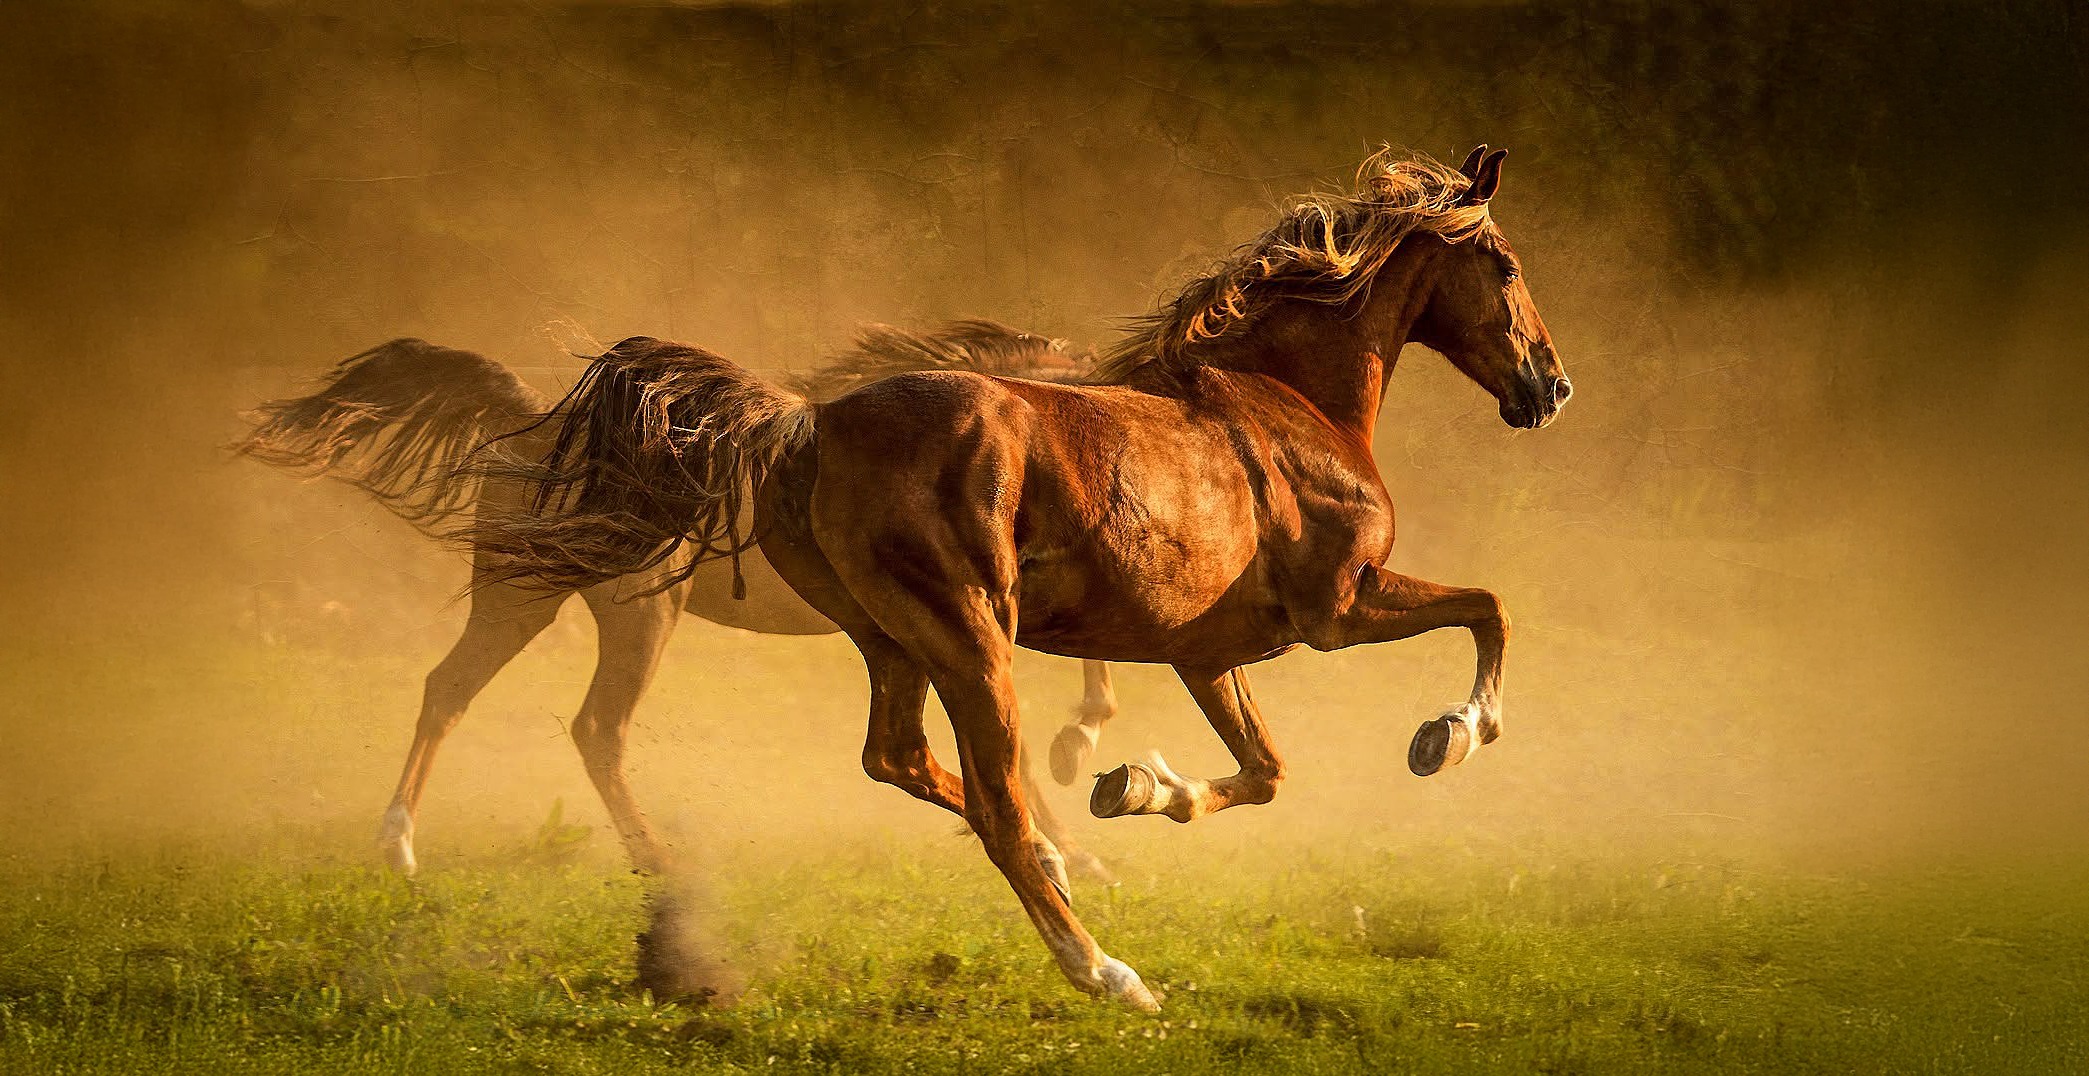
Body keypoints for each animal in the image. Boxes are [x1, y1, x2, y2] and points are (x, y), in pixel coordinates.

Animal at [235, 321, 1125, 880]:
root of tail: (537, 419)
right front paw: (1068, 830)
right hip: (635, 614)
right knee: (596, 728)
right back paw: (655, 860)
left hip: (520, 593)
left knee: (447, 690)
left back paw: (398, 846)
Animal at [472, 145, 1570, 1011]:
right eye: (1504, 263)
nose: (1549, 386)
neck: (1286, 400)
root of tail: (809, 422)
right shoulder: (1338, 605)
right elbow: (1493, 609)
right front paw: (1447, 735)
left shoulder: (1208, 652)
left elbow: (1263, 771)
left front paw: (1138, 786)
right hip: (970, 637)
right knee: (991, 802)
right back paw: (1109, 972)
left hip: (890, 640)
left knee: (900, 759)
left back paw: (1068, 858)